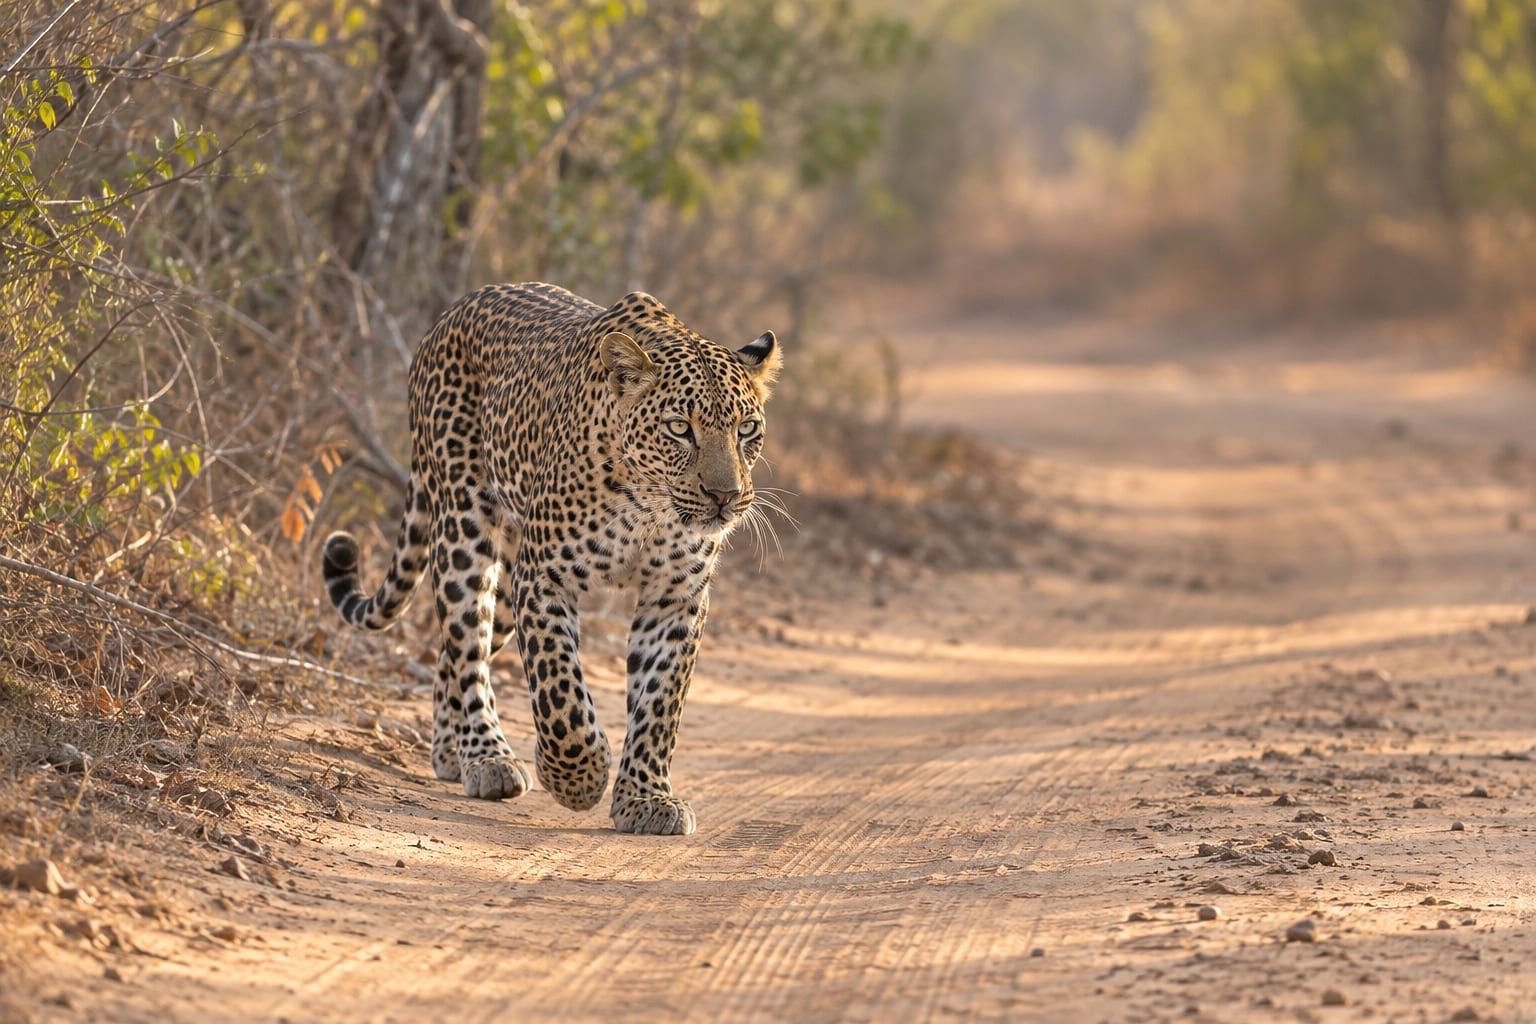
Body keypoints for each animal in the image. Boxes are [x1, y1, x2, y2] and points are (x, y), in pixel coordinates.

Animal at [320, 282, 781, 835]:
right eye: (679, 428)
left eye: (747, 429)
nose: (724, 496)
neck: (650, 507)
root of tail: (452, 311)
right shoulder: (545, 578)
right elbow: (558, 689)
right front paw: (577, 778)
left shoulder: (676, 596)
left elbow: (660, 703)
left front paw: (646, 798)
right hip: (464, 528)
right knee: (466, 647)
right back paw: (488, 758)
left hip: (506, 581)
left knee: (454, 652)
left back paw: (451, 752)